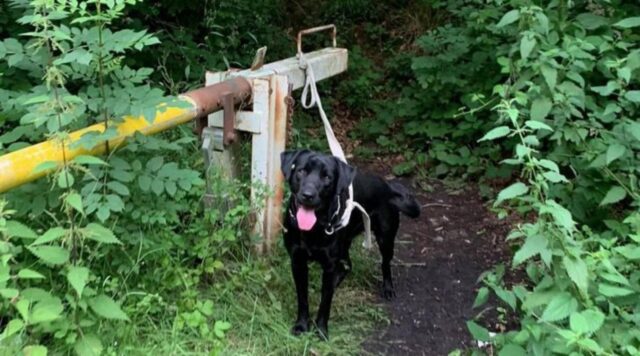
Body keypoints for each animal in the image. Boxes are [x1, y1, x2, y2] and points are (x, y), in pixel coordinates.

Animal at [280, 149, 420, 338]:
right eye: (301, 171)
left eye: (327, 177)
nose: (308, 195)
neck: (314, 228)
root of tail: (388, 186)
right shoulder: (297, 262)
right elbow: (302, 298)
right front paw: (302, 326)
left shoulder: (329, 265)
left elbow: (325, 302)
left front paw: (321, 330)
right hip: (345, 243)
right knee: (347, 265)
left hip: (385, 238)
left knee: (385, 263)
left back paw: (388, 288)